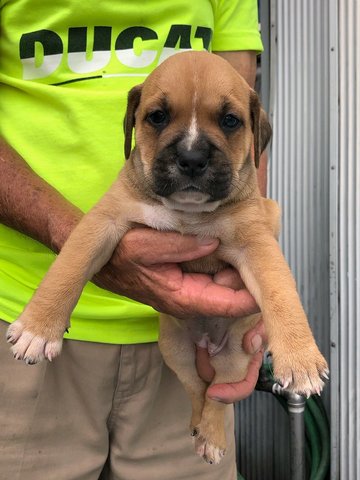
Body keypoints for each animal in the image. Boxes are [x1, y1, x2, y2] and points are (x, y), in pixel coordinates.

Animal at [7, 51, 330, 464]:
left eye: (230, 121)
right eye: (157, 117)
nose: (191, 158)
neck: (187, 212)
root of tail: (206, 344)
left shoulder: (257, 242)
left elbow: (280, 292)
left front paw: (301, 358)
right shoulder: (103, 222)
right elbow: (68, 267)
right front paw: (37, 328)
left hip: (236, 357)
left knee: (217, 395)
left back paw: (212, 437)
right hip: (175, 350)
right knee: (195, 389)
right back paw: (197, 427)